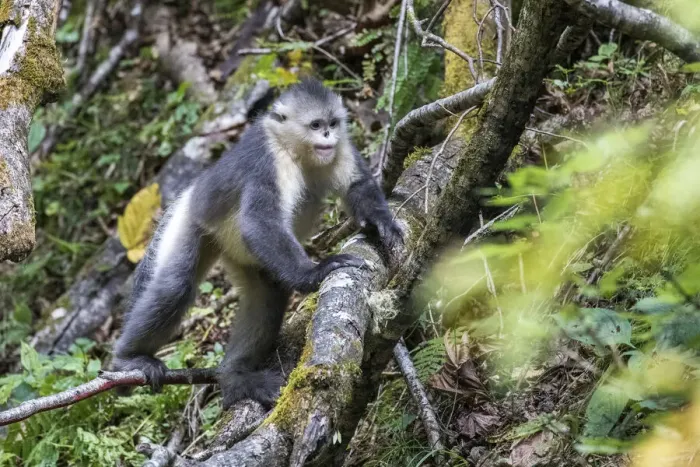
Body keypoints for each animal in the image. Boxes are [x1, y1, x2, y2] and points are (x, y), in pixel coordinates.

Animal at [112, 79, 402, 408]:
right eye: (315, 125)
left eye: (332, 124)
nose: (327, 135)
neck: (296, 151)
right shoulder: (269, 161)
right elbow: (258, 222)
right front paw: (315, 272)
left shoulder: (341, 148)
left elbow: (357, 185)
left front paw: (382, 223)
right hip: (189, 222)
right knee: (175, 286)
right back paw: (129, 359)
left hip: (241, 253)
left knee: (266, 295)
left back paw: (235, 377)